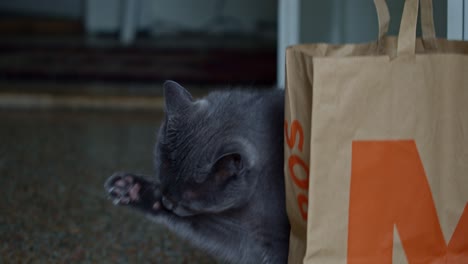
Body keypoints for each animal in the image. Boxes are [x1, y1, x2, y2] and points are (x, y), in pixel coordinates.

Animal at [103, 81, 288, 262]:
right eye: (163, 183)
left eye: (189, 200)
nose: (167, 203)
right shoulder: (247, 239)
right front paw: (129, 188)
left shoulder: (273, 241)